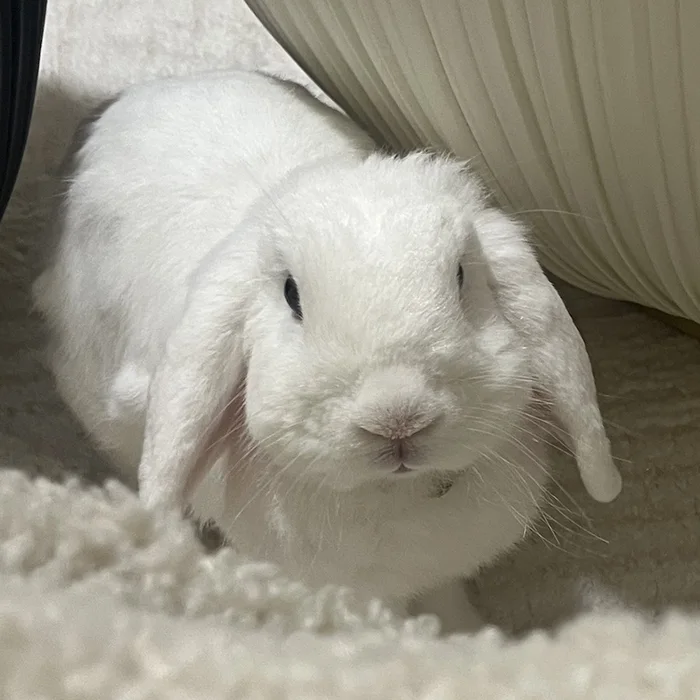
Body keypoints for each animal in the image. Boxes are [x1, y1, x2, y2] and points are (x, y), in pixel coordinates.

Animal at [33, 70, 621, 635]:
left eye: (460, 277)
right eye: (291, 295)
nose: (397, 419)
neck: (392, 493)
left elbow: (445, 597)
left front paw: (464, 634)